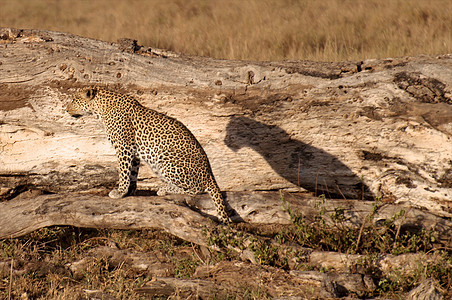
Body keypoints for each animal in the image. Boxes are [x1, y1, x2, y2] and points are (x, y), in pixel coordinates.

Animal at [64, 85, 230, 224]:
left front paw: (119, 192)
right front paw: (130, 191)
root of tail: (210, 174)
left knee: (195, 189)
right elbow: (132, 173)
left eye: (73, 99)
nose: (65, 110)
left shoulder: (124, 147)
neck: (101, 109)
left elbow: (123, 172)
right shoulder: (134, 152)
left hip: (165, 160)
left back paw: (164, 189)